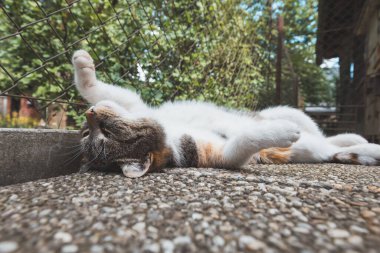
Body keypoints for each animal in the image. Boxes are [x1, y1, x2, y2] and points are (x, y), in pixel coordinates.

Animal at [72, 48, 380, 177]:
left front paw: (83, 64)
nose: (89, 115)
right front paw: (279, 132)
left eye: (100, 130)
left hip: (290, 110)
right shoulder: (217, 155)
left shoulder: (138, 106)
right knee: (333, 148)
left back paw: (354, 137)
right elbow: (242, 143)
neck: (171, 131)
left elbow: (102, 91)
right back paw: (368, 148)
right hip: (313, 147)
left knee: (325, 134)